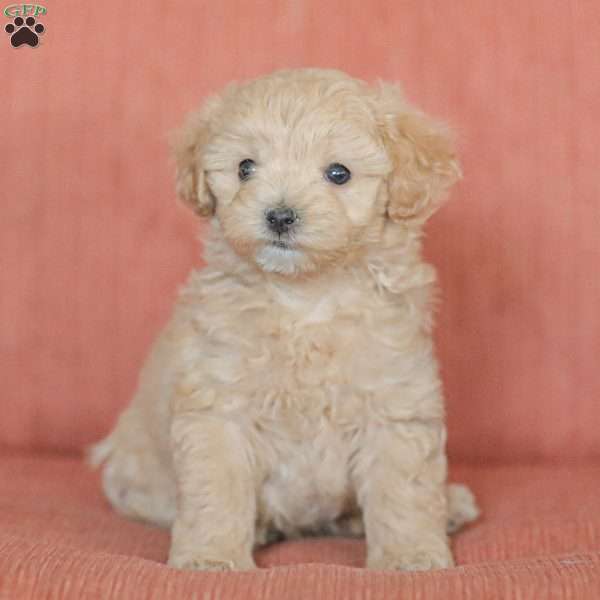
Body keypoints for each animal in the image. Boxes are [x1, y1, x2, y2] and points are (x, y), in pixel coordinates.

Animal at [91, 68, 480, 568]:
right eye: (245, 168)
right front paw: (210, 558)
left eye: (338, 173)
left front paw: (409, 557)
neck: (304, 299)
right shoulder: (219, 408)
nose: (279, 215)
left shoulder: (394, 404)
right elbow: (216, 491)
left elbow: (403, 492)